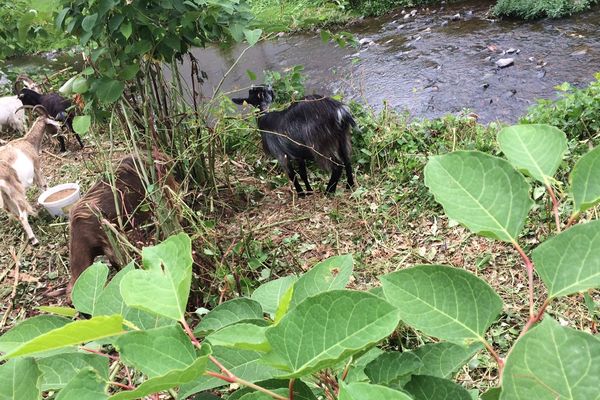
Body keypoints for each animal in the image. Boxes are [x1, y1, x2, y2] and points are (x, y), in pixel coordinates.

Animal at [0, 105, 60, 244]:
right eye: (51, 118)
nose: (59, 126)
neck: (27, 141)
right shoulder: (36, 167)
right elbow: (44, 186)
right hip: (16, 191)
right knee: (22, 216)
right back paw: (34, 239)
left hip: (6, 197)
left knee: (15, 213)